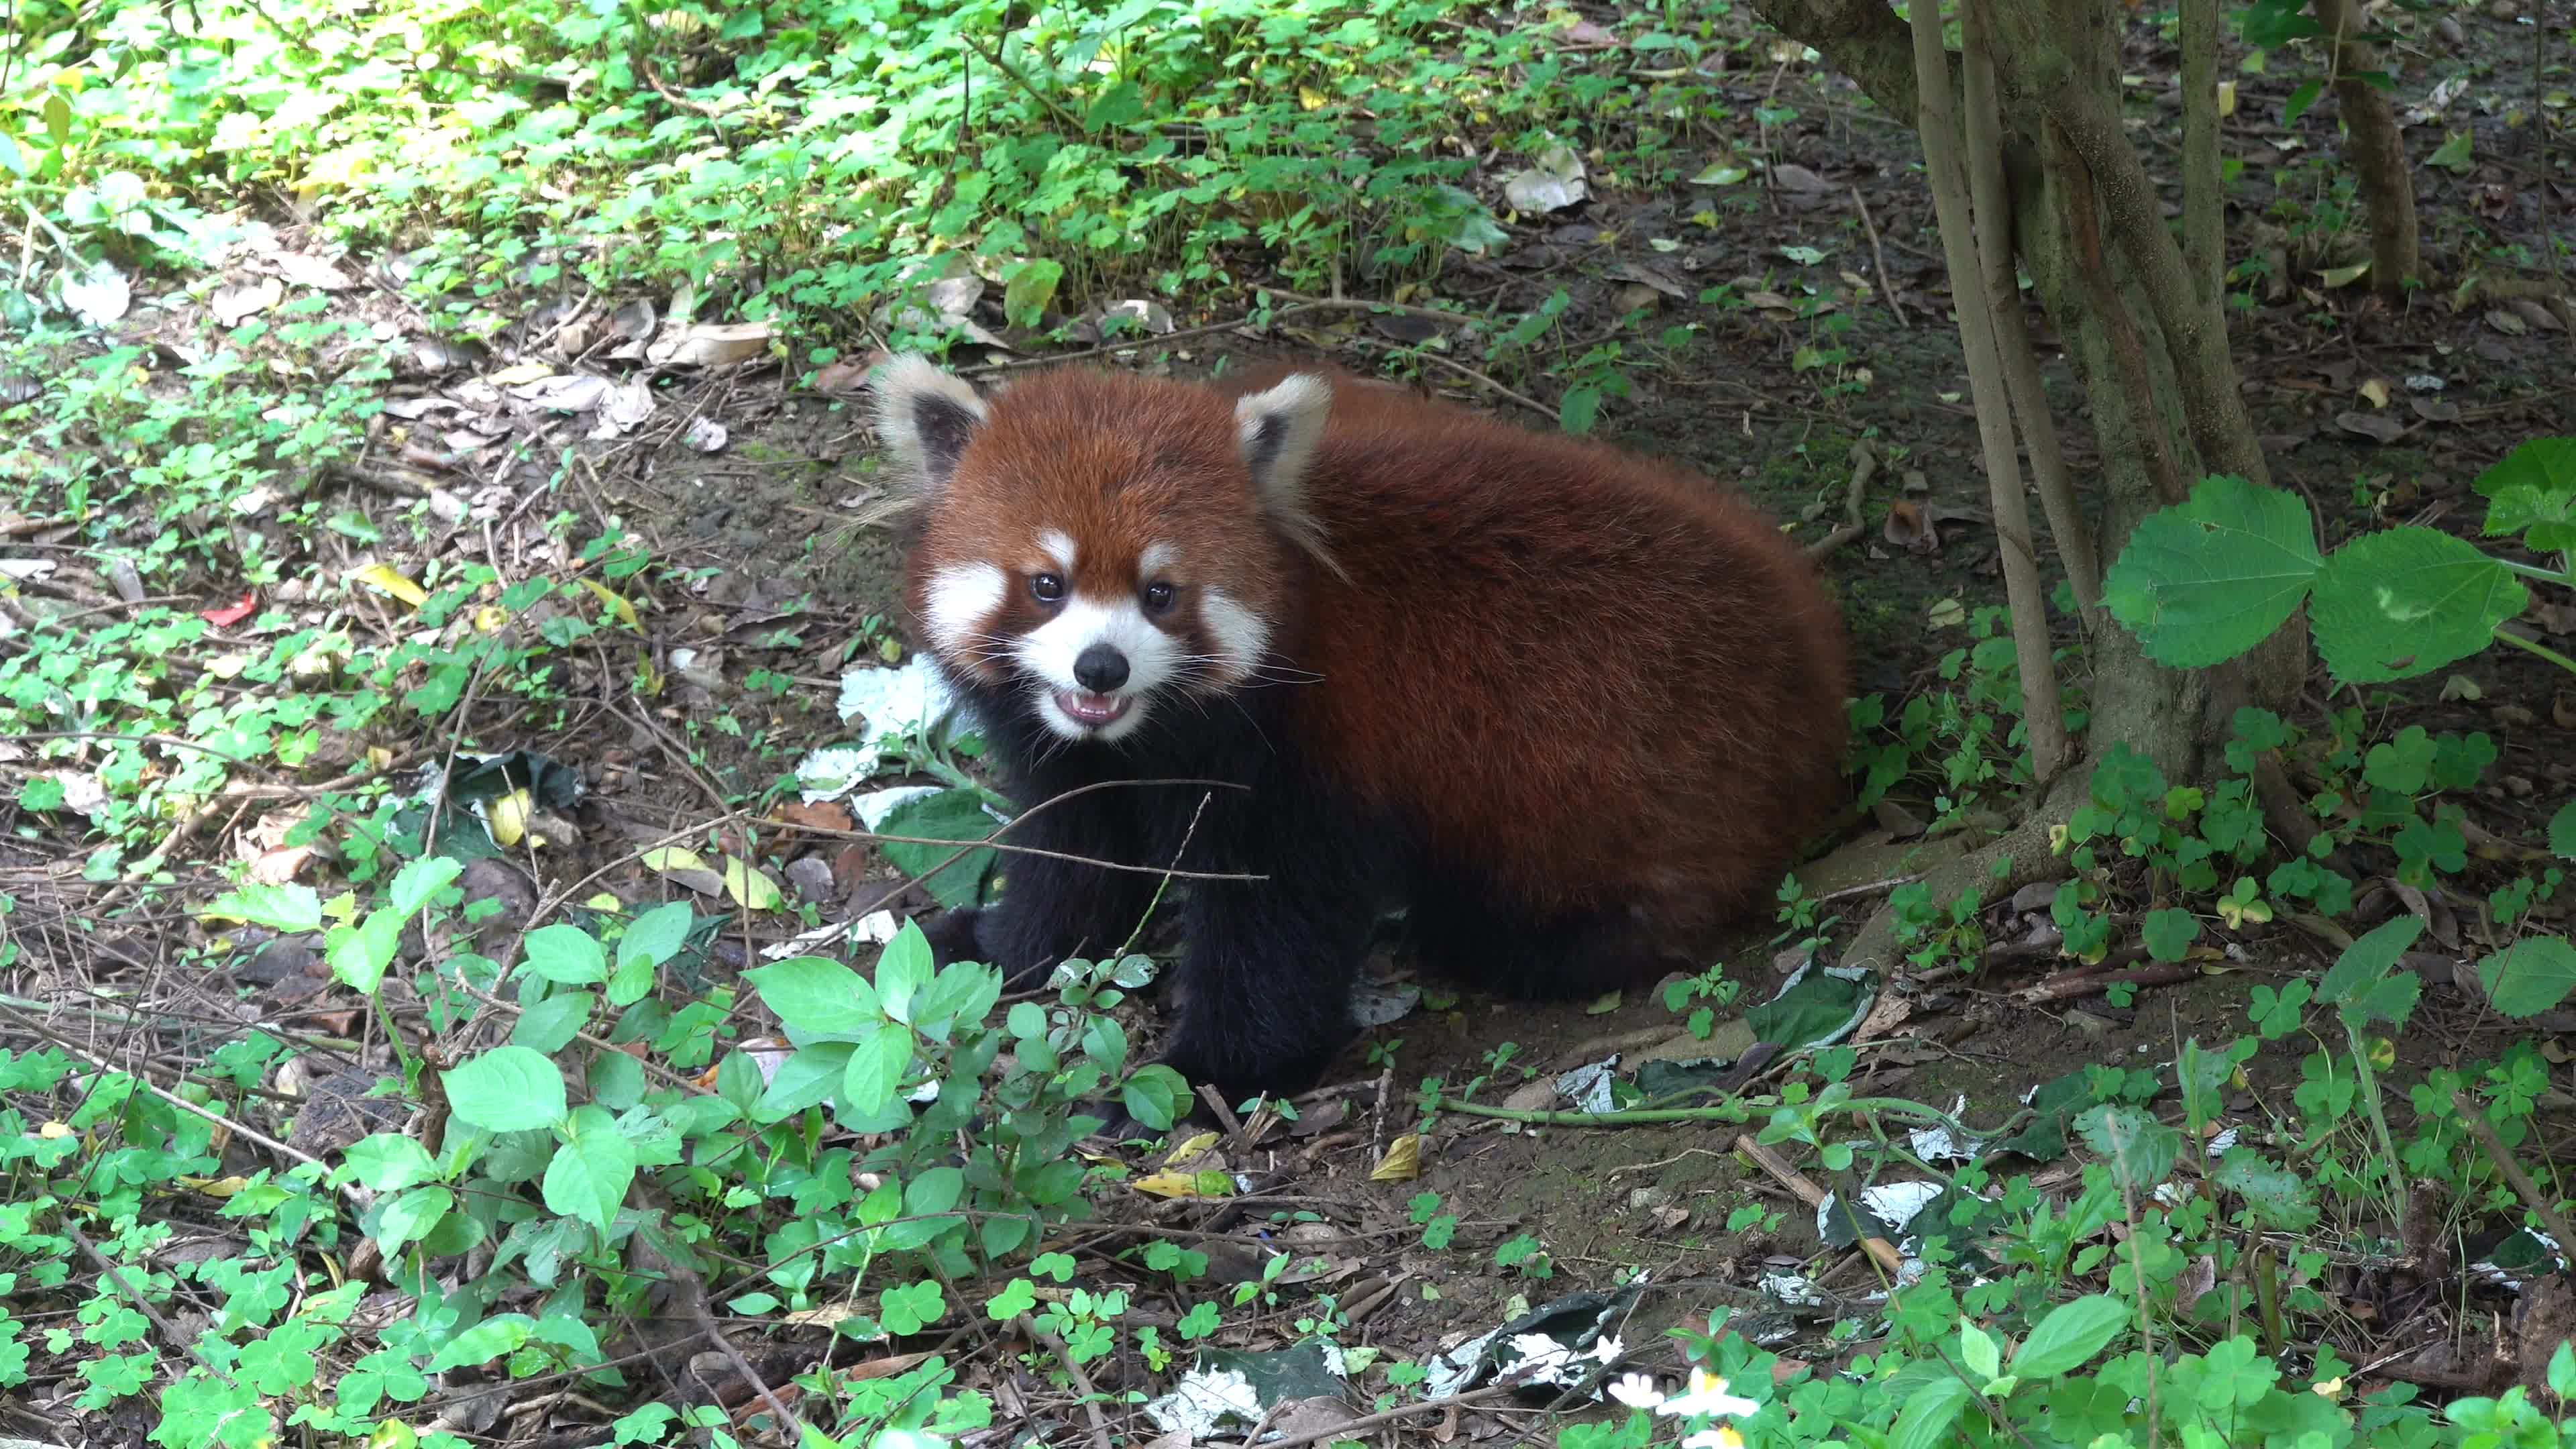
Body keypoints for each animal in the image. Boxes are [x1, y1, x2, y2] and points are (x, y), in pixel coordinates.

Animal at [875, 350, 1844, 1103]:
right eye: (1048, 585)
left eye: (1160, 593)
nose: (1100, 667)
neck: (1149, 733)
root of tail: (1814, 648)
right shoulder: (1069, 753)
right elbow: (1073, 856)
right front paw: (999, 951)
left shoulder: (1314, 751)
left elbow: (1276, 925)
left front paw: (1209, 1075)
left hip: (1623, 795)